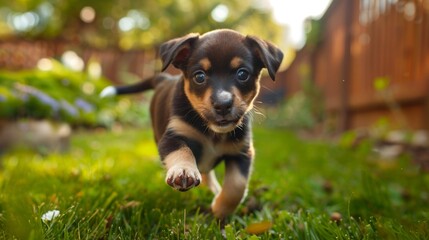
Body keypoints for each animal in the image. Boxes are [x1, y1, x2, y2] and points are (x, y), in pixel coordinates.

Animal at [99, 29, 280, 218]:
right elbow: (182, 151)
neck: (212, 131)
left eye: (242, 74)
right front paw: (184, 171)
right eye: (199, 76)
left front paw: (219, 210)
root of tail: (163, 78)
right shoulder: (172, 137)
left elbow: (236, 186)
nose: (222, 104)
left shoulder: (242, 152)